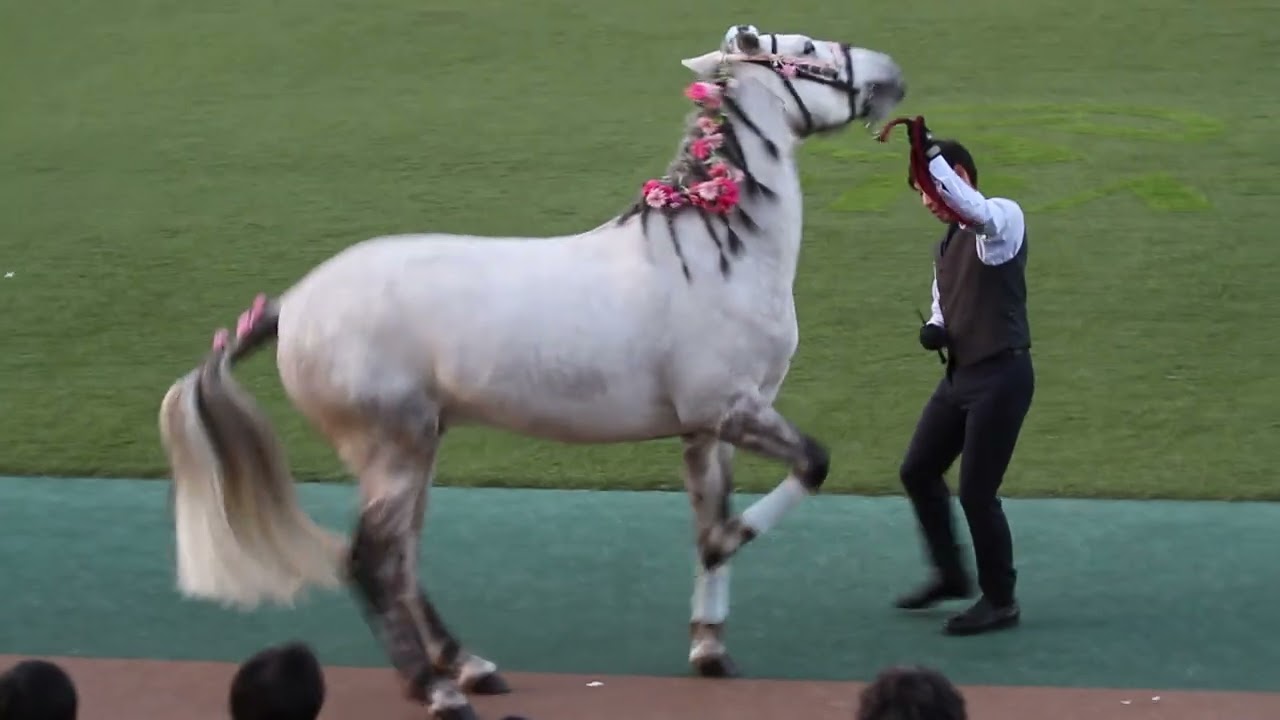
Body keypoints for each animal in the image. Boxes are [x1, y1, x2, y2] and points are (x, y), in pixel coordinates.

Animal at [158, 25, 906, 720]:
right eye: (804, 49)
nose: (891, 73)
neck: (713, 254)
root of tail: (291, 306)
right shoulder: (731, 410)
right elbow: (807, 467)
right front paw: (726, 555)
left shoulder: (705, 430)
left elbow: (708, 525)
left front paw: (710, 649)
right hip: (393, 445)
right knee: (370, 561)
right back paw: (436, 689)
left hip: (416, 445)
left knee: (402, 559)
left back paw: (469, 666)